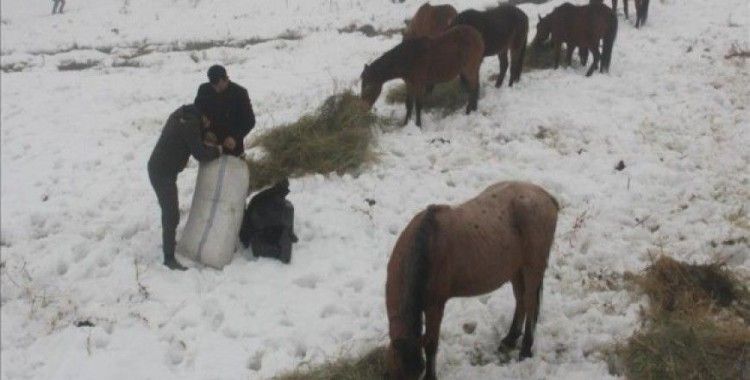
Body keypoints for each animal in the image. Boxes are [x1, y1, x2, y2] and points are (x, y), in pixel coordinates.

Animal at [388, 183, 560, 378]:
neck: (424, 245)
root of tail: (546, 196)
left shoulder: (435, 305)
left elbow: (431, 344)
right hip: (516, 270)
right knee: (521, 300)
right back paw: (510, 339)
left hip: (532, 268)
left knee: (530, 303)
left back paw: (525, 349)